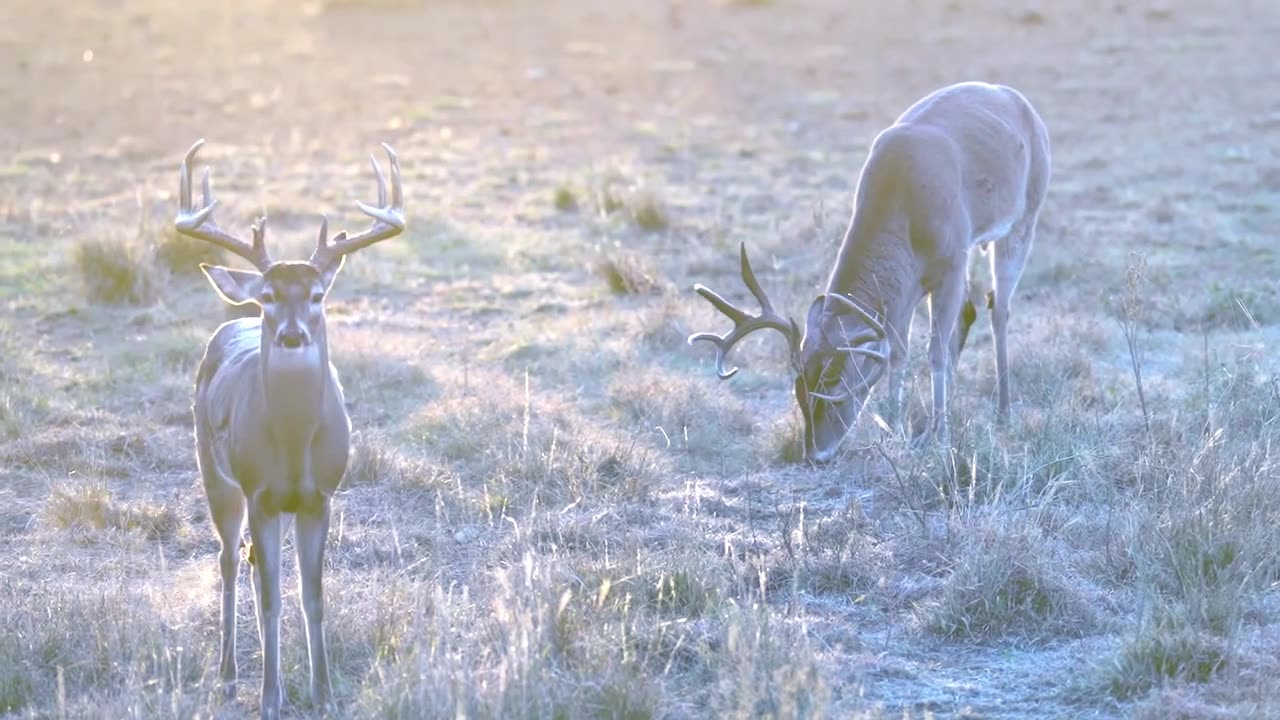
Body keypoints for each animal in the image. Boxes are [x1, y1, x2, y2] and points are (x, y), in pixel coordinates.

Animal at [176, 137, 404, 712]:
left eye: (318, 294)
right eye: (269, 296)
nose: (293, 335)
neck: (295, 444)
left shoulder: (320, 496)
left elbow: (312, 595)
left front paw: (324, 696)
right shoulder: (260, 492)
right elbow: (272, 599)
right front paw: (269, 700)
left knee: (253, 564)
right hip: (214, 473)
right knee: (230, 560)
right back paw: (229, 676)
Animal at [696, 81, 1044, 461]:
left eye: (835, 385)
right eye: (799, 388)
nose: (814, 455)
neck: (904, 204)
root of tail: (1015, 98)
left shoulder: (952, 260)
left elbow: (934, 352)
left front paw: (938, 436)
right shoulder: (905, 285)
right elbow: (897, 352)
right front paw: (898, 431)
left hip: (1024, 217)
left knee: (998, 309)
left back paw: (1002, 413)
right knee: (968, 314)